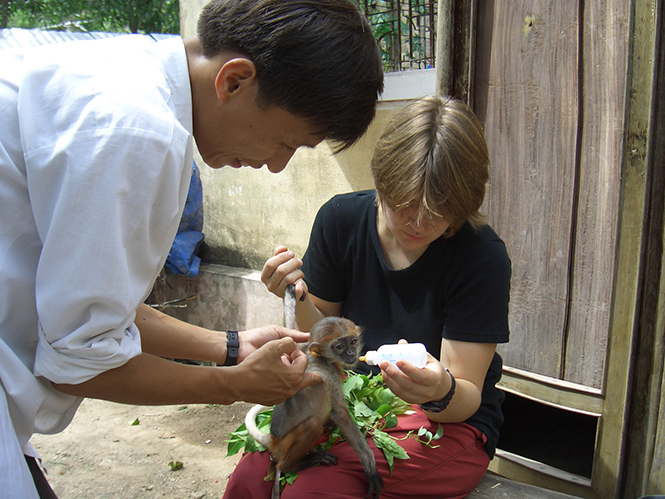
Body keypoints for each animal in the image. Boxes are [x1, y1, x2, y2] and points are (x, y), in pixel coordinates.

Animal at [244, 286, 382, 499]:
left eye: (353, 341)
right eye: (339, 346)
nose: (351, 353)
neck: (324, 360)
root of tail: (274, 440)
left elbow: (290, 330)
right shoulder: (324, 374)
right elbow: (340, 414)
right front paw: (370, 466)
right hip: (286, 444)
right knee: (312, 425)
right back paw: (292, 465)